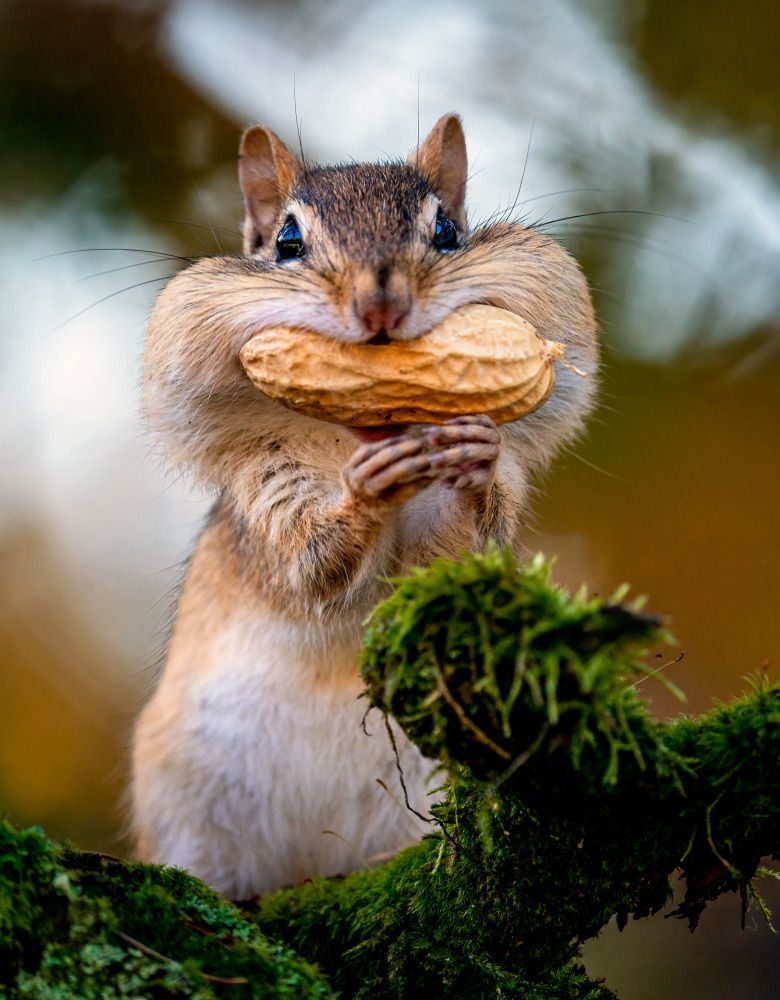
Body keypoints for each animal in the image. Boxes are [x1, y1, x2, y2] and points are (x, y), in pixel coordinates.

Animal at [130, 114, 599, 899]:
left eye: (446, 230)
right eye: (287, 242)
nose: (381, 305)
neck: (351, 437)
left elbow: (458, 553)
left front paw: (473, 456)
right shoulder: (266, 488)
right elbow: (308, 566)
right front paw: (365, 491)